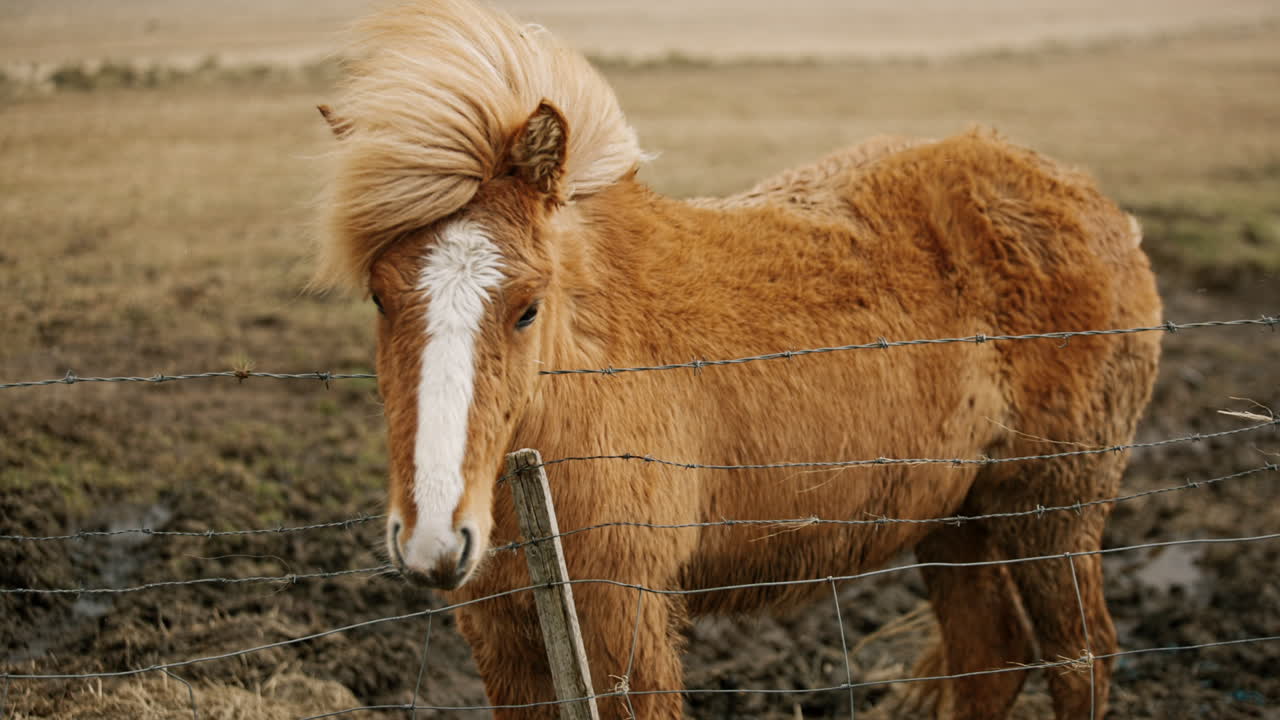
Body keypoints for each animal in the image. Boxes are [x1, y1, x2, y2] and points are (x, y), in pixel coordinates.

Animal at [313, 1, 1161, 717]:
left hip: (1051, 508)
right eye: (381, 298)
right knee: (989, 655)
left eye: (527, 307)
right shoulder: (501, 631)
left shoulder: (622, 616)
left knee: (1081, 660)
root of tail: (1094, 205)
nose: (433, 536)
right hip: (957, 517)